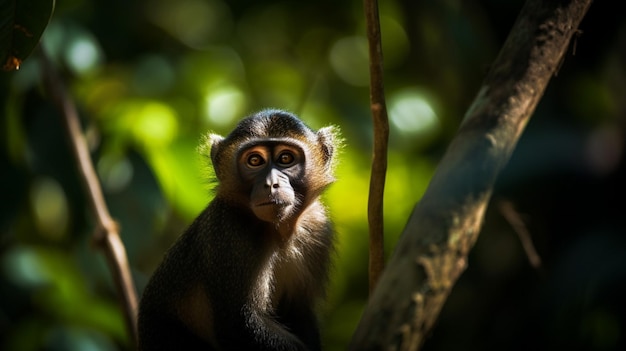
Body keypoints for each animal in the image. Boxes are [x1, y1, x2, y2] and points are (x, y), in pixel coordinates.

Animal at [138, 108, 338, 350]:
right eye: (255, 160)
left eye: (285, 158)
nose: (271, 184)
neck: (278, 231)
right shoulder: (229, 231)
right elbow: (238, 325)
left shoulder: (317, 225)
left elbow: (299, 311)